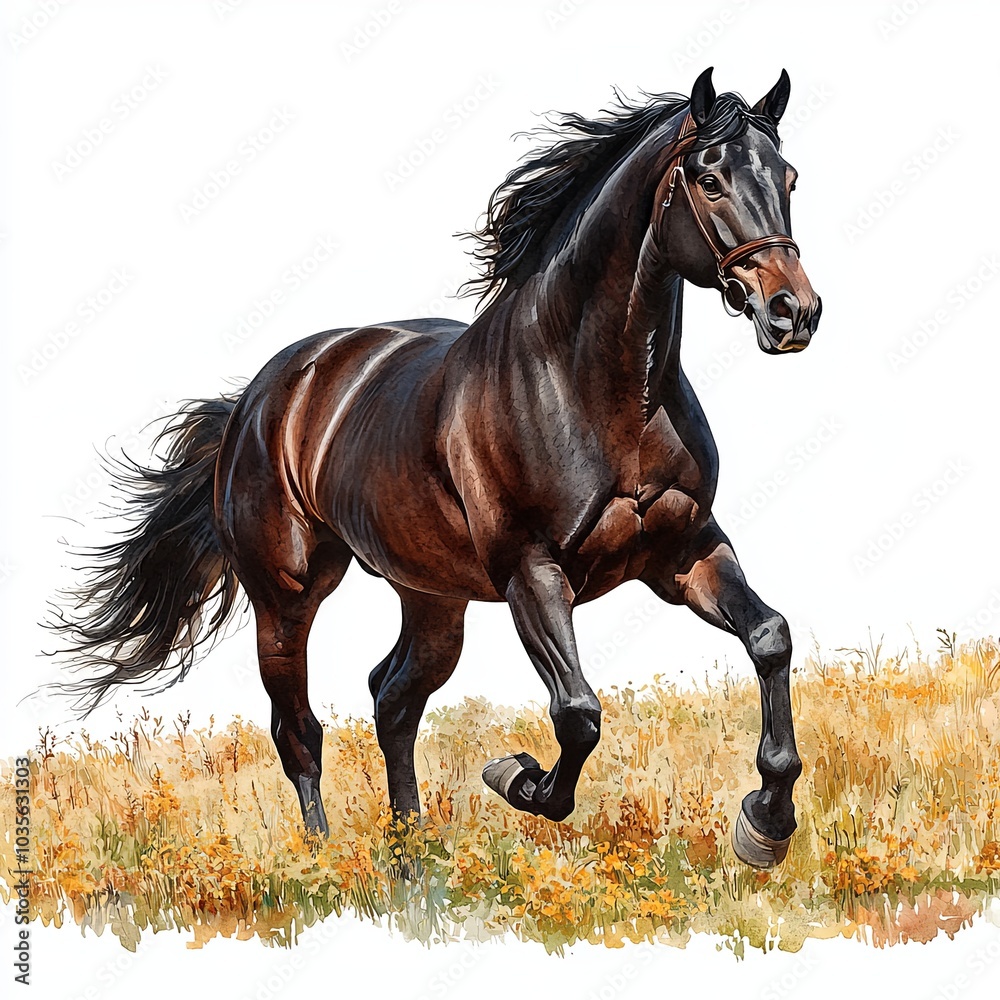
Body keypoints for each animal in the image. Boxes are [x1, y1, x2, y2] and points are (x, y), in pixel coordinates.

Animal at [54, 68, 821, 869]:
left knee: (392, 699)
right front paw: (516, 777)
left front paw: (766, 823)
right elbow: (577, 712)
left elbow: (770, 637)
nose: (793, 312)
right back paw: (326, 861)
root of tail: (260, 399)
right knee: (299, 731)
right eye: (709, 180)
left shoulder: (684, 552)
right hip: (287, 597)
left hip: (432, 598)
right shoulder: (531, 573)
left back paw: (410, 859)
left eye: (789, 177)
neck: (594, 386)